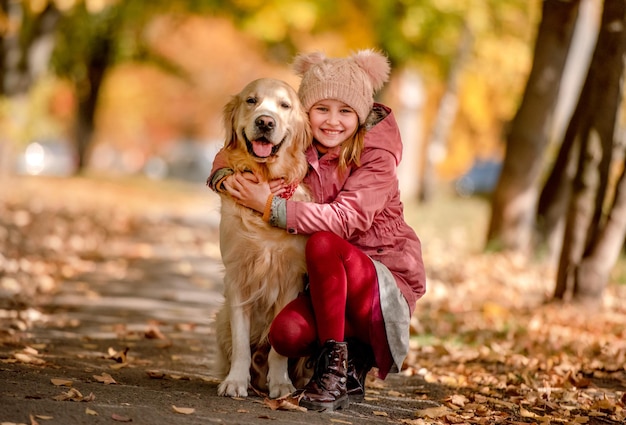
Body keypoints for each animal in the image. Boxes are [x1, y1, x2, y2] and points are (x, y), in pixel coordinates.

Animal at [214, 78, 312, 398]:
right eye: (251, 101)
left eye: (285, 105)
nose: (265, 122)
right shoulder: (237, 275)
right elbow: (241, 342)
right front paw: (235, 381)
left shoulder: (290, 278)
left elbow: (278, 349)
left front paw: (281, 383)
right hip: (220, 318)